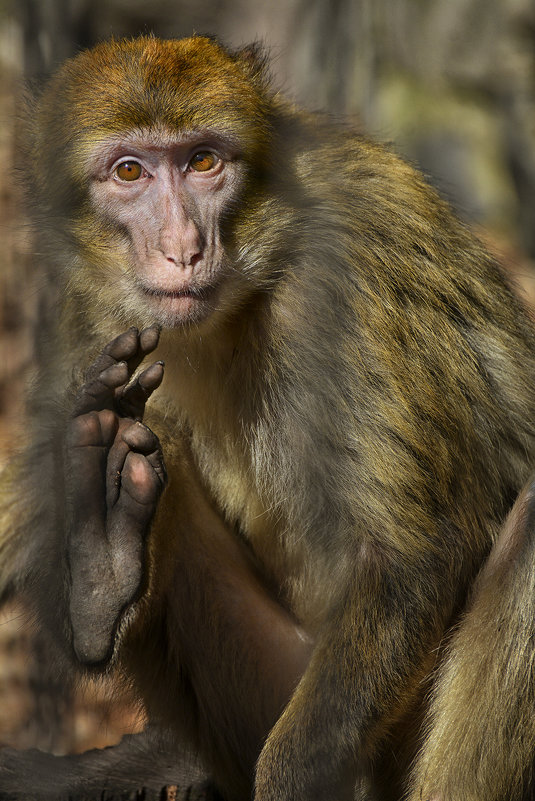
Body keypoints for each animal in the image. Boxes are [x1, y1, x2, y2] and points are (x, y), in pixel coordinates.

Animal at [1, 36, 535, 800]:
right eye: (129, 171)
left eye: (203, 161)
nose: (184, 246)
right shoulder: (97, 313)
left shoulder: (345, 275)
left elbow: (410, 558)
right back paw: (106, 560)